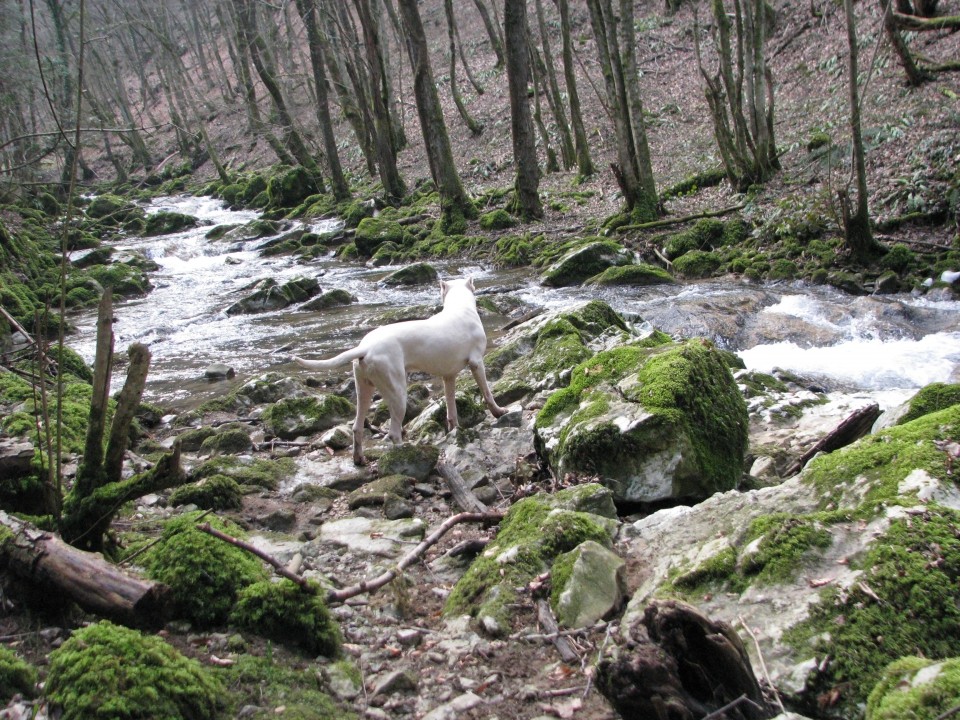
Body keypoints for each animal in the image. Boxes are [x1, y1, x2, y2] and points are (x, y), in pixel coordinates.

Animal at [292, 278, 506, 464]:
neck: (460, 306)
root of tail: (366, 347)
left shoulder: (449, 377)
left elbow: (451, 408)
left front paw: (455, 429)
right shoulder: (477, 363)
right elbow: (487, 393)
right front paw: (498, 412)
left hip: (364, 389)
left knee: (357, 427)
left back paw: (359, 459)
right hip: (398, 393)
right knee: (394, 432)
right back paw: (408, 453)